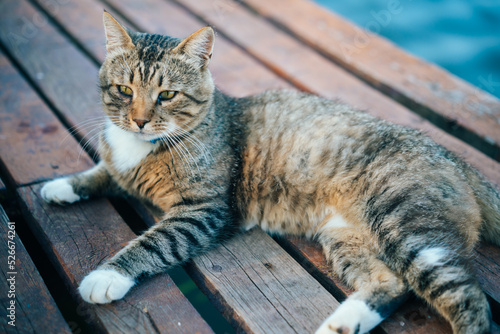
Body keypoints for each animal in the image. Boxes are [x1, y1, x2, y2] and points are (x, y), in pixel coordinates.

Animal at [40, 11, 500, 334]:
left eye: (167, 95)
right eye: (124, 90)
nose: (137, 121)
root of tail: (459, 161)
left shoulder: (202, 212)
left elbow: (152, 243)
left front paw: (107, 275)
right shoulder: (121, 168)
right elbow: (102, 172)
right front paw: (62, 185)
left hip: (411, 229)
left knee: (468, 297)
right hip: (347, 239)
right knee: (392, 283)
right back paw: (344, 321)